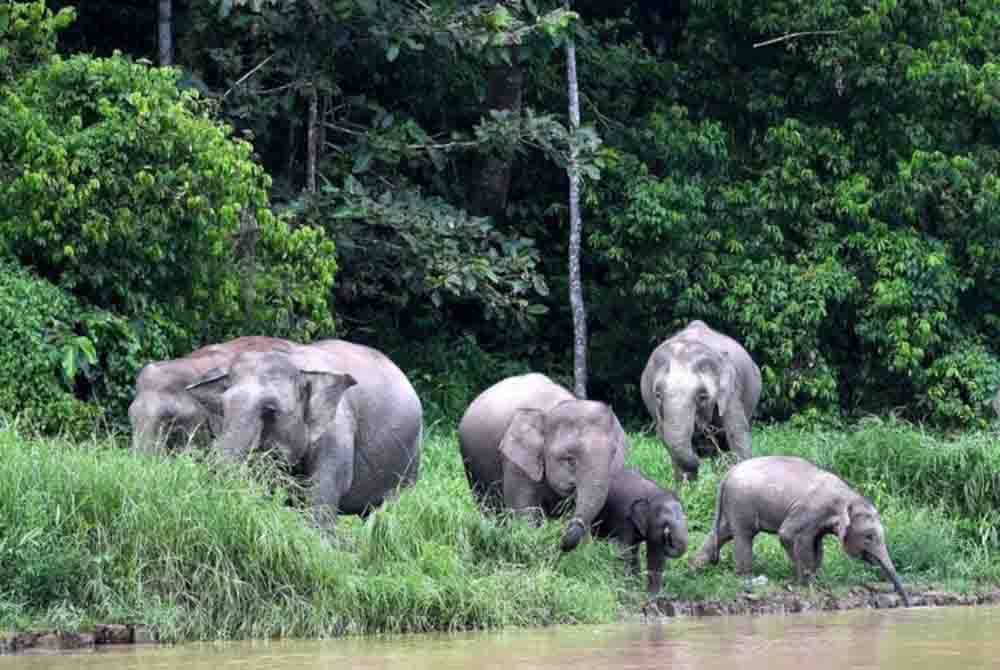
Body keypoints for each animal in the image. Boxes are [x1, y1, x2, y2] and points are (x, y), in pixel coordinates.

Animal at [173, 338, 422, 532]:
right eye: (223, 408)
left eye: (270, 410)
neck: (297, 363)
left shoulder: (337, 433)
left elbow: (319, 505)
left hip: (409, 463)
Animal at [458, 372, 624, 556]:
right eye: (570, 460)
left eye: (613, 456)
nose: (559, 540)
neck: (554, 408)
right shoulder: (515, 461)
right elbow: (524, 514)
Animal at [640, 320, 756, 484]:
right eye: (658, 395)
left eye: (702, 396)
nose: (699, 454)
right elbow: (666, 439)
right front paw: (686, 486)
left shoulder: (733, 391)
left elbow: (737, 433)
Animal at [692, 456, 912, 608]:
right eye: (869, 537)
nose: (908, 604)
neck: (848, 496)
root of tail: (727, 473)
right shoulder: (812, 509)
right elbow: (787, 534)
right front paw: (807, 582)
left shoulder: (820, 520)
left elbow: (817, 544)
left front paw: (815, 578)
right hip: (742, 503)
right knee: (743, 536)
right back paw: (745, 578)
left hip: (732, 506)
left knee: (723, 533)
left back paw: (696, 568)